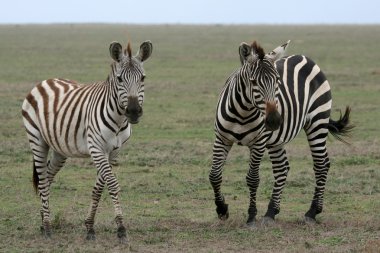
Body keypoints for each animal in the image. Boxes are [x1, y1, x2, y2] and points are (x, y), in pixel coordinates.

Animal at [21, 40, 153, 241]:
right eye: (120, 79)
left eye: (143, 78)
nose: (133, 112)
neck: (118, 120)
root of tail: (45, 81)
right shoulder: (96, 148)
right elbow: (112, 184)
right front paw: (121, 228)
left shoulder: (113, 152)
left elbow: (98, 189)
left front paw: (89, 227)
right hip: (37, 140)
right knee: (42, 180)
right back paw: (48, 227)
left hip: (60, 149)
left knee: (48, 178)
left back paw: (44, 221)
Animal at [209, 40, 352, 227]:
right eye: (253, 82)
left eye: (277, 80)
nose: (275, 121)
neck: (243, 112)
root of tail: (303, 57)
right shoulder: (222, 138)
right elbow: (215, 175)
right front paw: (222, 209)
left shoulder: (259, 143)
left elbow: (253, 178)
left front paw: (251, 216)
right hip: (276, 140)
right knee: (282, 168)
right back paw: (271, 212)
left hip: (318, 121)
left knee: (321, 164)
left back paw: (312, 212)